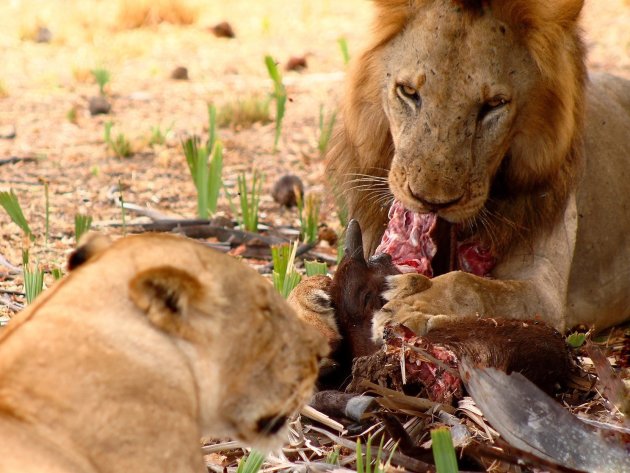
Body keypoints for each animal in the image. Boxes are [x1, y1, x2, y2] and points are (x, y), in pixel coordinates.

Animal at [294, 0, 628, 340]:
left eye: (494, 104)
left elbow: (469, 284)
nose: (433, 202)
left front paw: (414, 300)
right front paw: (313, 301)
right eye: (408, 91)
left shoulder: (548, 295)